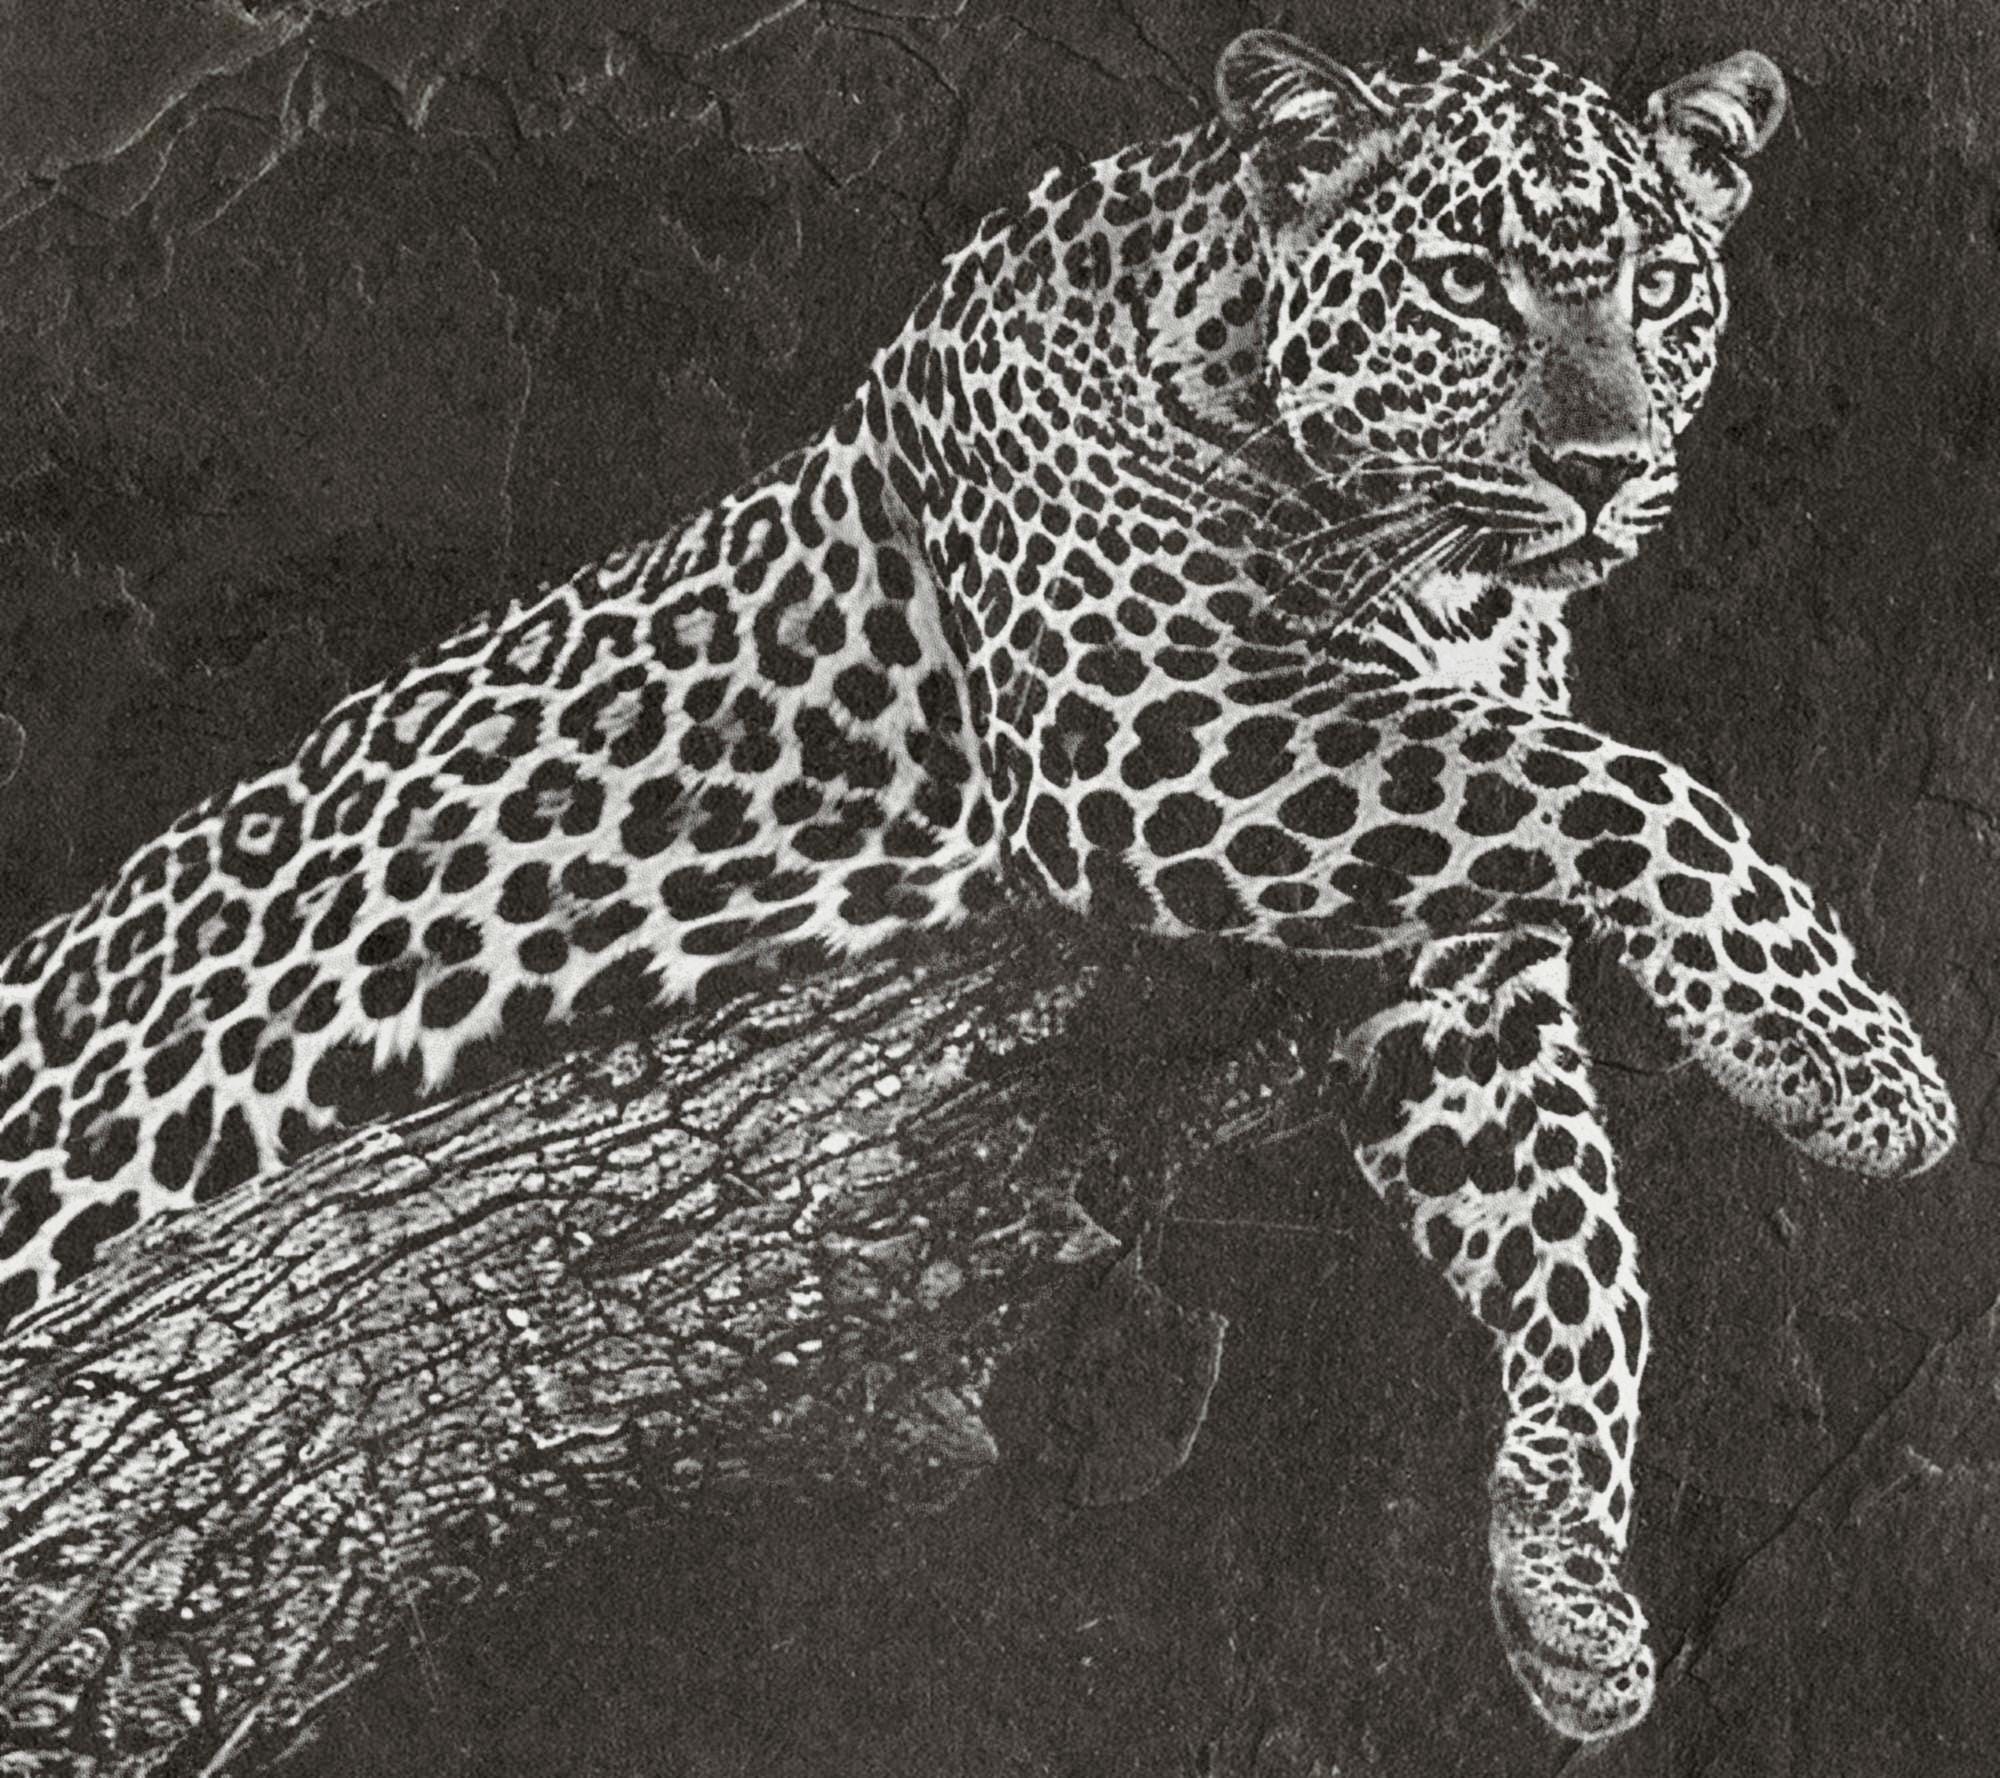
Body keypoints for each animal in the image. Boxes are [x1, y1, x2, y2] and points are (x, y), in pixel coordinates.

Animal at [0, 28, 1958, 1744]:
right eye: (1469, 284)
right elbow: (1634, 780)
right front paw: (1859, 1061)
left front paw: (1566, 1594)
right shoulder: (1149, 726)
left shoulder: (1440, 958)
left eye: (1662, 289)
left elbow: (1580, 1240)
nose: (1602, 470)